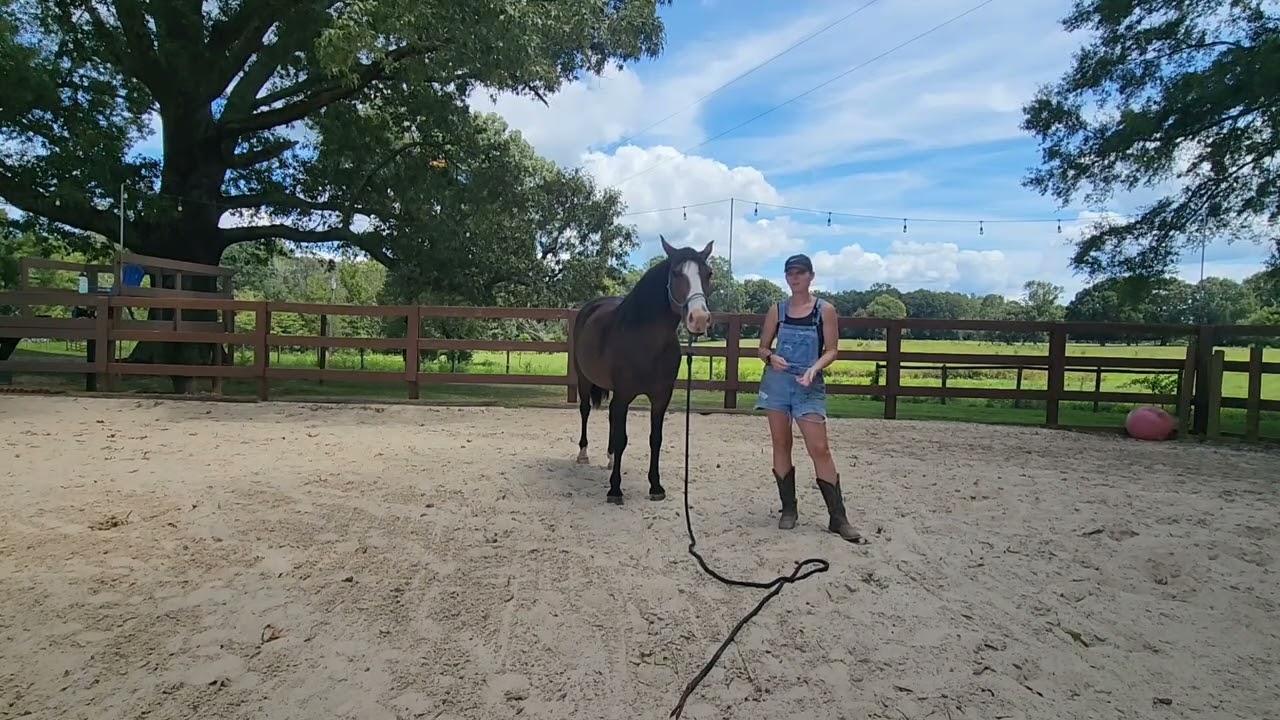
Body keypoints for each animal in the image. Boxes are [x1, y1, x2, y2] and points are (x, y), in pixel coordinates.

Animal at [570, 236, 715, 505]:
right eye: (676, 272)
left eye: (708, 273)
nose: (699, 319)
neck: (647, 342)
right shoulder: (624, 394)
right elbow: (622, 438)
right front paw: (615, 490)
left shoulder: (661, 398)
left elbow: (655, 439)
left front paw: (656, 486)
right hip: (584, 380)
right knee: (585, 410)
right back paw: (583, 454)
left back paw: (610, 458)